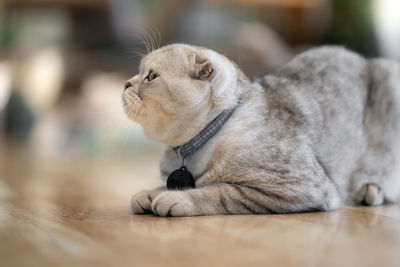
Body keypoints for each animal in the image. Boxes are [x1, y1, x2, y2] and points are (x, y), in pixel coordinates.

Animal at [122, 43, 400, 216]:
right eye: (138, 73)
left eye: (151, 76)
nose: (125, 83)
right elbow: (167, 185)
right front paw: (151, 193)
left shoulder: (298, 187)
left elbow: (219, 191)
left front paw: (176, 197)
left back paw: (370, 191)